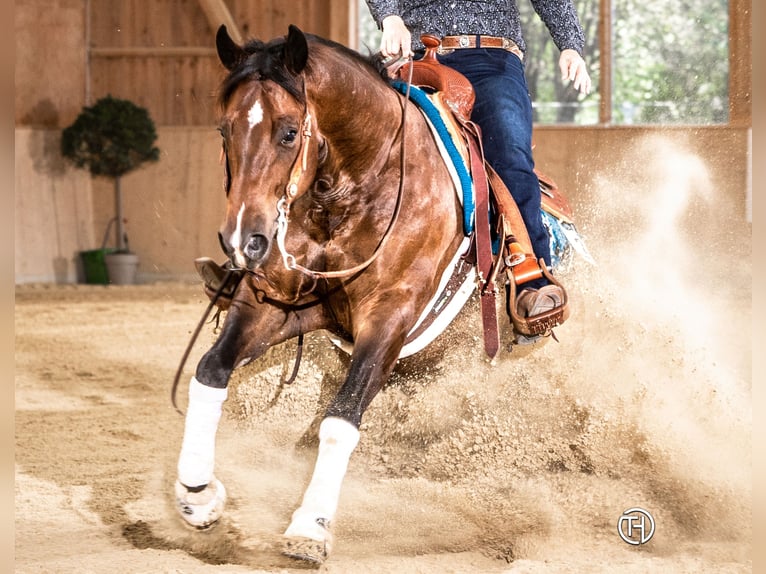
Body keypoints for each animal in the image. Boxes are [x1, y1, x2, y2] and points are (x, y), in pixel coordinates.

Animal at [173, 23, 567, 564]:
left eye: (289, 131)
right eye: (224, 131)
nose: (243, 240)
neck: (359, 186)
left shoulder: (390, 316)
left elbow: (342, 417)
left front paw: (310, 525)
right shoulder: (282, 304)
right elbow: (211, 370)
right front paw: (197, 493)